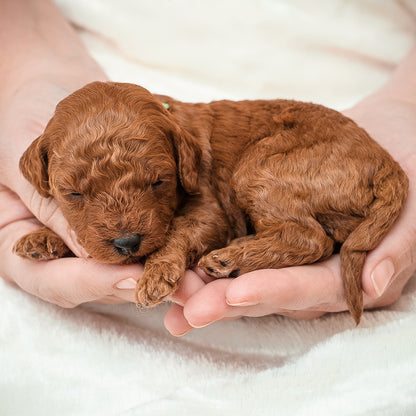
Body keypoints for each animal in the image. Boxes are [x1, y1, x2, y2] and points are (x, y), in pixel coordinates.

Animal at [14, 80, 408, 322]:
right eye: (74, 194)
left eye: (159, 182)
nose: (127, 243)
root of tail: (387, 164)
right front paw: (42, 238)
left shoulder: (210, 207)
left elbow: (179, 231)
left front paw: (156, 274)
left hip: (261, 166)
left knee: (310, 238)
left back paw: (228, 258)